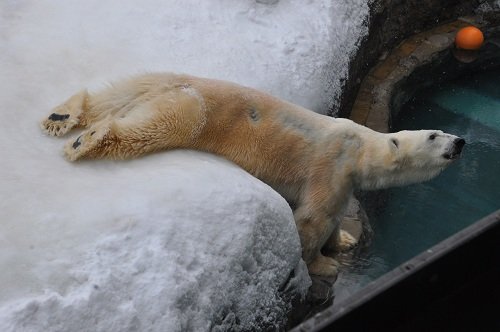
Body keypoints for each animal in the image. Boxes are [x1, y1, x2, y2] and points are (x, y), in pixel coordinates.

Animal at [40, 73, 464, 278]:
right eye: (434, 134)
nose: (460, 141)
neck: (361, 147)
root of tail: (176, 85)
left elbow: (327, 217)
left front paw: (341, 240)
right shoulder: (332, 165)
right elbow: (313, 218)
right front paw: (323, 263)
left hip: (155, 81)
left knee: (110, 97)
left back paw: (62, 116)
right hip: (193, 110)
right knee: (153, 128)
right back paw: (84, 142)